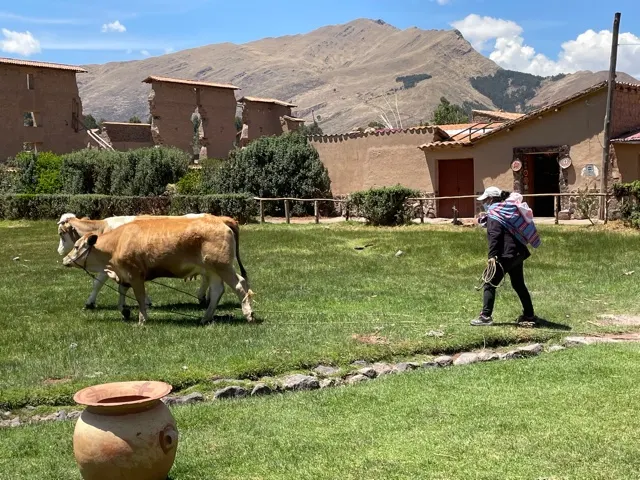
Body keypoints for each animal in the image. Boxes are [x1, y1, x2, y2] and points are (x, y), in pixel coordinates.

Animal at [62, 216, 254, 325]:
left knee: (239, 284)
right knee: (216, 291)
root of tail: (222, 221)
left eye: (77, 246)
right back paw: (205, 318)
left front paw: (142, 320)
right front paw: (124, 311)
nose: (64, 260)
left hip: (222, 265)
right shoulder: (124, 273)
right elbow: (122, 289)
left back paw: (248, 314)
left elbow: (139, 297)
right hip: (212, 269)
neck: (117, 241)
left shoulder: (135, 274)